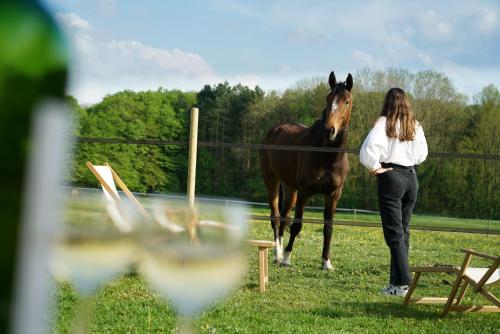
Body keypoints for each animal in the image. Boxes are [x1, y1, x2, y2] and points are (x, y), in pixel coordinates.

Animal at [260, 70, 354, 268]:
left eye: (347, 101)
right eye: (328, 99)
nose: (329, 131)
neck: (328, 157)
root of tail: (274, 130)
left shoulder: (333, 195)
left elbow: (328, 227)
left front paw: (326, 262)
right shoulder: (305, 192)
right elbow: (297, 225)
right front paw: (287, 258)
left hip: (290, 187)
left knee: (284, 216)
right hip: (272, 180)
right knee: (276, 216)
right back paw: (278, 254)